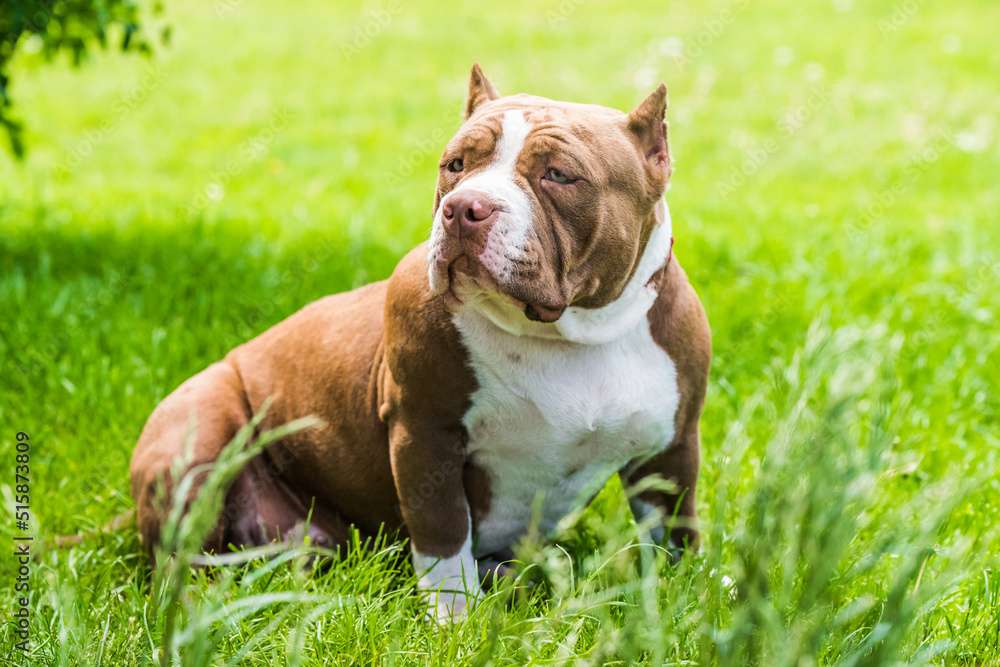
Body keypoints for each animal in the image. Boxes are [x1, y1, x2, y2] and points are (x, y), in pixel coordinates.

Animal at [131, 65, 712, 624]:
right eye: (455, 165)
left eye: (559, 175)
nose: (465, 207)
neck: (564, 335)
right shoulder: (424, 434)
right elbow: (444, 530)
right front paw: (452, 617)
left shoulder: (672, 446)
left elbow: (675, 530)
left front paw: (682, 598)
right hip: (196, 439)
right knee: (179, 560)